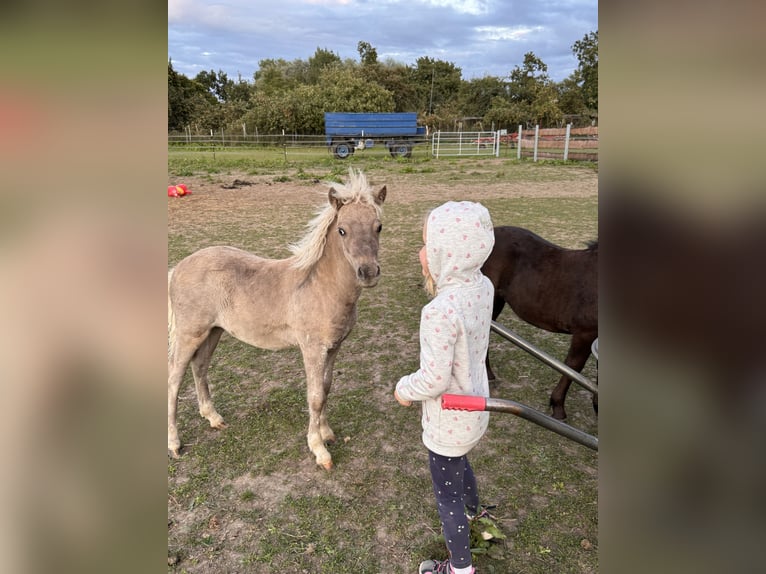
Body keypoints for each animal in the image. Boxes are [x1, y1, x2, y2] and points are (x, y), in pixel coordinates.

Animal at [167, 168, 386, 469]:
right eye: (342, 230)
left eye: (379, 227)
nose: (368, 272)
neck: (320, 286)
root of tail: (177, 267)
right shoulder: (312, 349)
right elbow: (315, 397)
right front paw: (319, 450)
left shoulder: (333, 347)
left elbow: (326, 388)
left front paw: (327, 433)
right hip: (190, 333)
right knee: (174, 379)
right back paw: (174, 444)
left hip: (213, 331)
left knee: (199, 368)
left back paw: (213, 418)